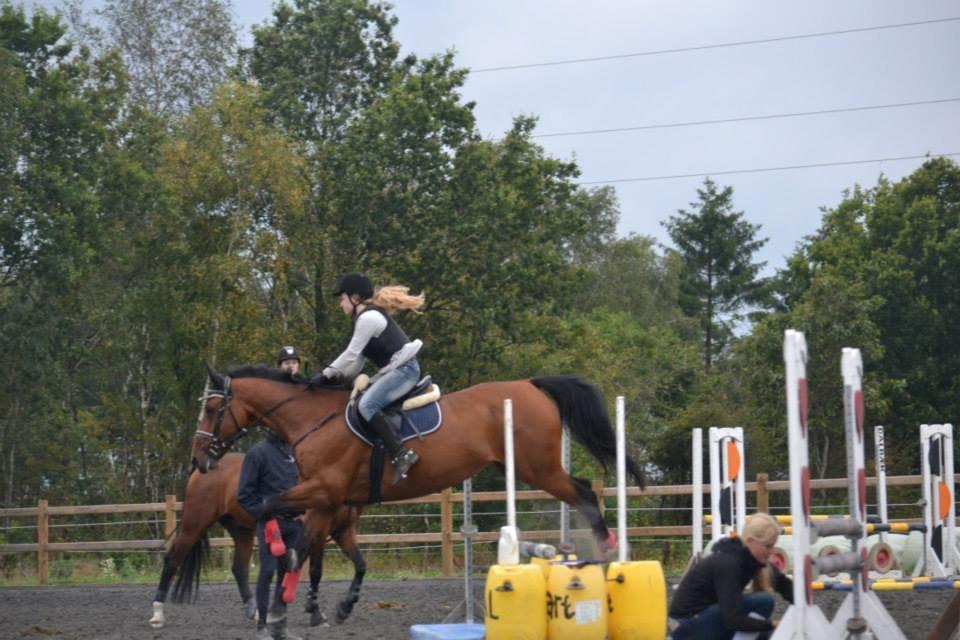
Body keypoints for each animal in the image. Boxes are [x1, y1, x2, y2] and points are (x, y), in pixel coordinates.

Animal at [150, 452, 368, 628]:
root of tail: (203, 468)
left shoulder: (343, 531)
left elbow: (360, 565)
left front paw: (344, 608)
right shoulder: (318, 532)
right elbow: (314, 571)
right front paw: (315, 614)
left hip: (241, 530)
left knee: (239, 568)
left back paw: (254, 612)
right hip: (194, 524)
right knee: (172, 561)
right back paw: (158, 614)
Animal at [189, 364, 644, 636]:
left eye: (211, 408)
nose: (198, 459)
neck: (313, 420)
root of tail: (529, 386)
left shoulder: (323, 491)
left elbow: (274, 513)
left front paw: (282, 602)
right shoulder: (325, 502)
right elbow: (304, 550)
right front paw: (306, 609)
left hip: (539, 469)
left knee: (584, 493)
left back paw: (606, 555)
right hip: (535, 468)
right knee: (584, 490)